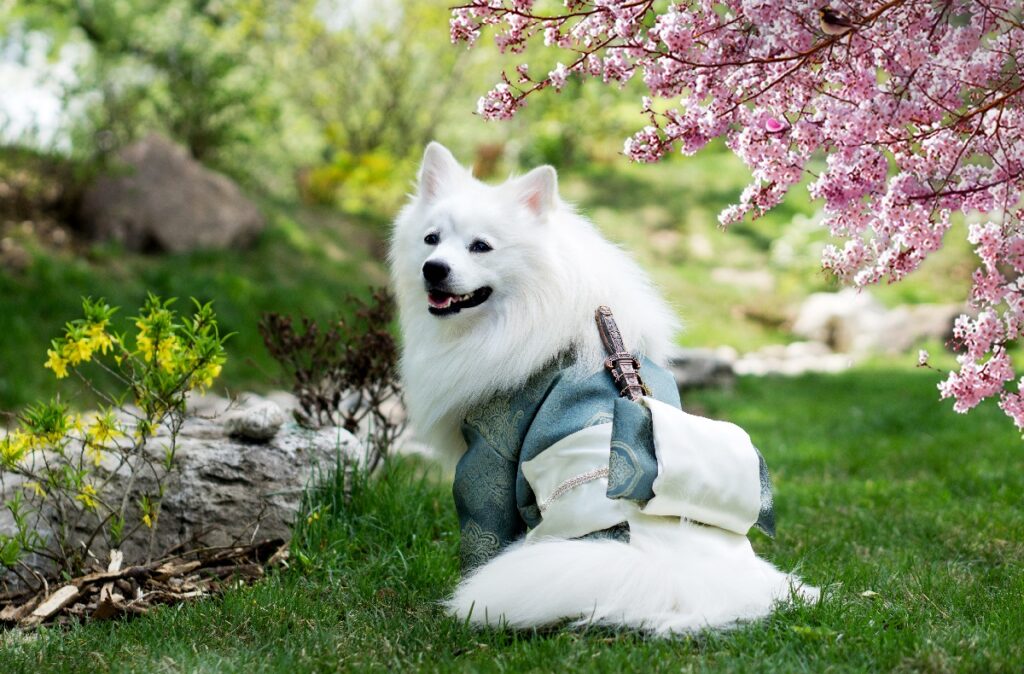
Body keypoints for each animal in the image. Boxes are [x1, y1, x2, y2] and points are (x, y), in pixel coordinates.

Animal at [387, 140, 819, 630]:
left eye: (481, 247)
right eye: (431, 239)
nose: (433, 269)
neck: (526, 309)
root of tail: (667, 568)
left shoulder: (488, 456)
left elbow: (482, 532)